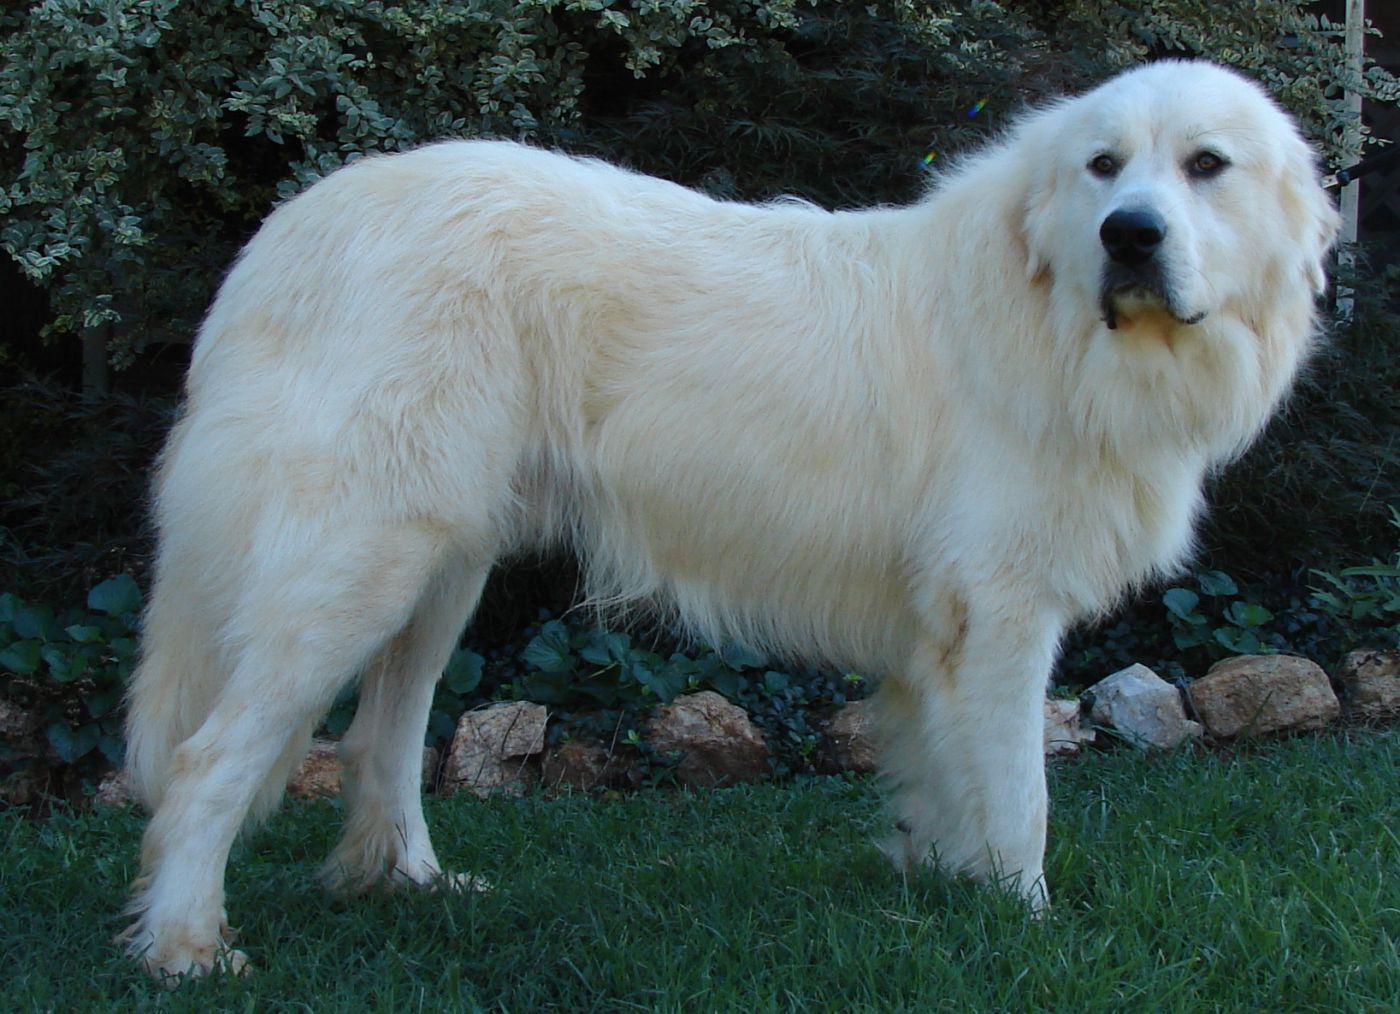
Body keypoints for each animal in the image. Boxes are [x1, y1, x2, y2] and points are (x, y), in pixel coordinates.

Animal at [126, 61, 1338, 974]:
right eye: (1103, 166)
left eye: (1205, 166)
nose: (1130, 235)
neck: (1049, 315)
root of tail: (293, 227)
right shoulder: (996, 615)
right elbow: (1020, 798)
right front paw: (1025, 927)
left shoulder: (936, 643)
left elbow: (945, 786)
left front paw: (944, 893)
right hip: (358, 562)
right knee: (207, 758)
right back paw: (186, 948)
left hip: (439, 571)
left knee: (382, 735)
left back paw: (410, 885)